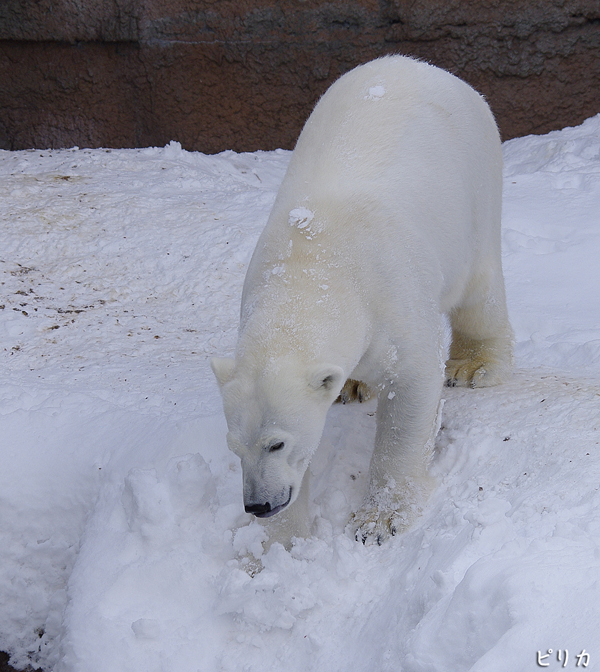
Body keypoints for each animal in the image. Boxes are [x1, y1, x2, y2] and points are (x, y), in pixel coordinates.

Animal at [210, 56, 510, 544]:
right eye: (234, 446)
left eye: (277, 442)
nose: (258, 505)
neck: (312, 265)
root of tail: (427, 67)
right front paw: (279, 543)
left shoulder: (393, 294)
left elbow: (411, 390)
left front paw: (378, 520)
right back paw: (353, 385)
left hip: (477, 187)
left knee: (479, 293)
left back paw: (474, 365)